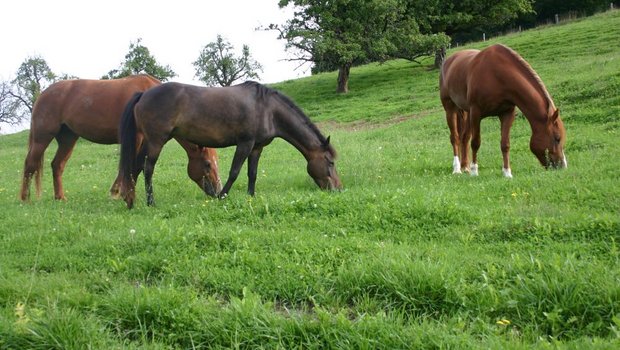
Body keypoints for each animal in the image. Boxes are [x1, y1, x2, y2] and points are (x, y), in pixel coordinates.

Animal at [19, 75, 222, 201]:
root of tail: (43, 94)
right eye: (207, 164)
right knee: (30, 164)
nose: (218, 192)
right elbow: (133, 165)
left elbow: (135, 166)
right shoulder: (138, 138)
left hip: (68, 138)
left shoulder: (147, 140)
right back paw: (25, 199)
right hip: (42, 137)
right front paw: (121, 193)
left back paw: (60, 197)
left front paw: (119, 191)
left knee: (57, 165)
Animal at [118, 80, 342, 208]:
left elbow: (252, 173)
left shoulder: (257, 147)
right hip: (157, 141)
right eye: (330, 162)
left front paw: (251, 196)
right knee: (148, 168)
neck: (268, 109)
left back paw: (130, 201)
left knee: (135, 168)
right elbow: (234, 172)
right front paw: (221, 196)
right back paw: (150, 202)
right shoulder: (245, 143)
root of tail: (143, 95)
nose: (338, 189)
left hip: (148, 141)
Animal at [436, 43, 568, 178]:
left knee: (465, 137)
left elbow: (505, 144)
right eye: (557, 138)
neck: (497, 75)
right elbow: (476, 142)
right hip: (450, 108)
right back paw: (457, 168)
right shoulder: (476, 112)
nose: (562, 166)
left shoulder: (507, 113)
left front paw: (507, 172)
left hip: (466, 112)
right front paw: (474, 171)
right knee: (455, 138)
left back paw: (465, 167)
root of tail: (449, 61)